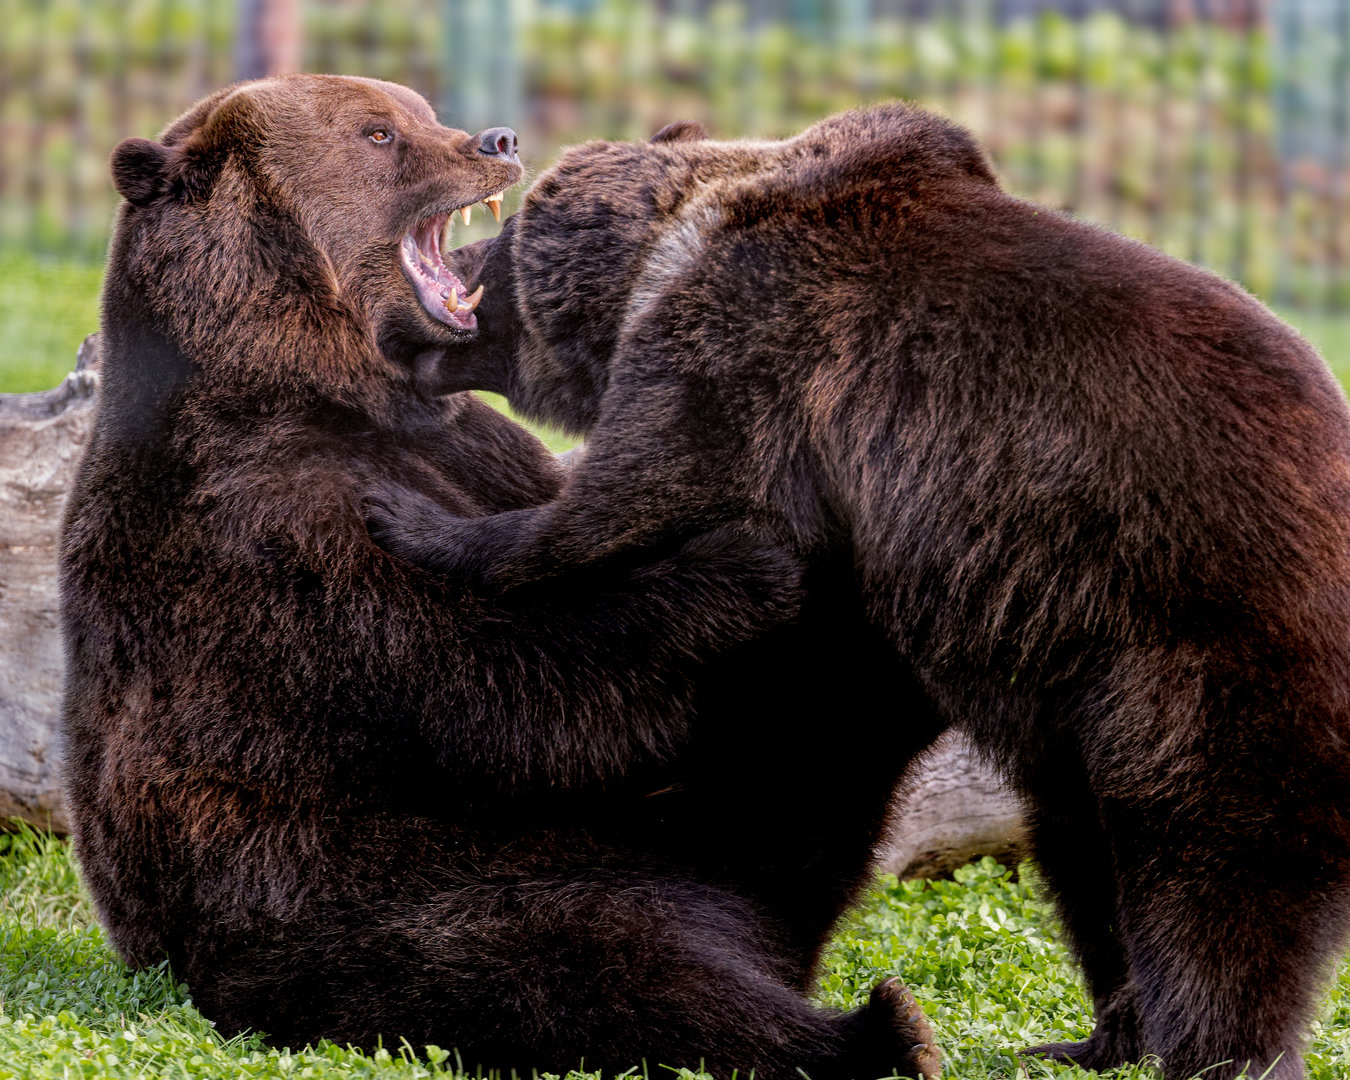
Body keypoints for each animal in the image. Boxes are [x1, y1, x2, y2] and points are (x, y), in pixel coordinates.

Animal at [58, 76, 942, 1080]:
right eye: (378, 132)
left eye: (415, 107)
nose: (496, 140)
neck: (317, 382)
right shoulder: (258, 518)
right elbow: (485, 681)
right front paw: (738, 561)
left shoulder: (474, 450)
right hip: (371, 900)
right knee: (584, 967)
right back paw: (878, 1029)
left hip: (691, 821)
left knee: (810, 753)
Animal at [365, 103, 1350, 1080]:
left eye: (486, 251)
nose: (412, 322)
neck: (665, 258)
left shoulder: (743, 351)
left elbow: (624, 498)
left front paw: (413, 516)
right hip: (1085, 691)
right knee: (1083, 845)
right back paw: (1096, 1034)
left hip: (1200, 650)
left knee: (1212, 872)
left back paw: (1218, 1048)